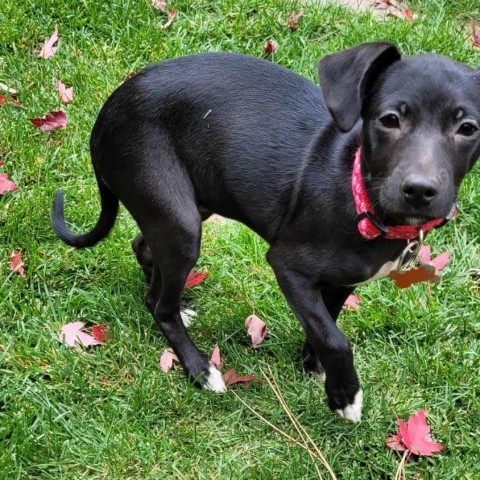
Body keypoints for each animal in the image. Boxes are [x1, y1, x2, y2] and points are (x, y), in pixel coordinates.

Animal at [52, 43, 480, 422]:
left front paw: (316, 367)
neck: (356, 188)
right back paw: (200, 369)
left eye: (468, 128)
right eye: (389, 119)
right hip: (180, 222)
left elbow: (326, 323)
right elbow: (335, 337)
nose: (420, 190)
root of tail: (107, 113)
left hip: (188, 205)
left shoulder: (343, 280)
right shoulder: (287, 265)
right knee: (160, 308)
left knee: (144, 250)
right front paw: (344, 396)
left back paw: (174, 300)